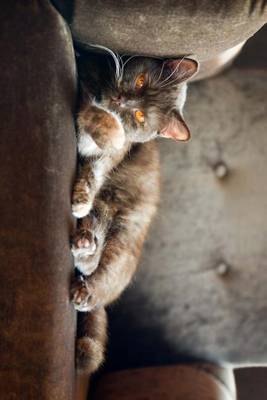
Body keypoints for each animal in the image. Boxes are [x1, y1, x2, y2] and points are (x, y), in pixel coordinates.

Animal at [70, 50, 198, 376]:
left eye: (140, 117)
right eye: (140, 81)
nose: (122, 101)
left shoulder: (106, 158)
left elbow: (94, 169)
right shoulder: (85, 87)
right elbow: (93, 115)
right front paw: (109, 128)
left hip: (123, 239)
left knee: (98, 278)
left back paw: (85, 268)